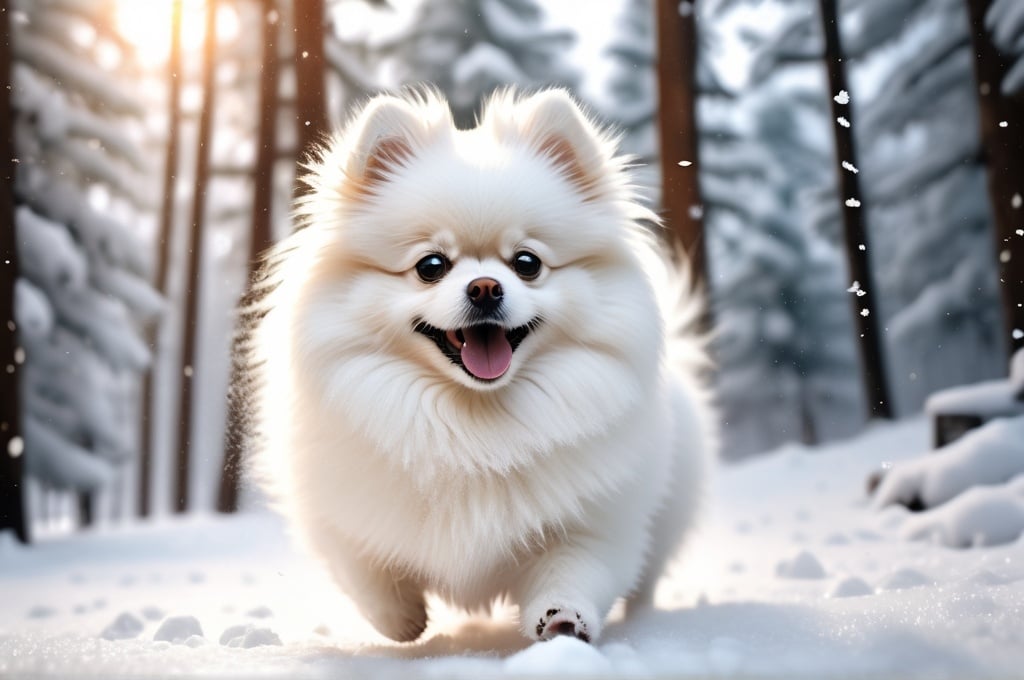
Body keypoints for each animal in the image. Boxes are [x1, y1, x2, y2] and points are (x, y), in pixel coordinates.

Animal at [240, 87, 716, 647]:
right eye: (431, 266)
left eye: (527, 263)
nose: (485, 287)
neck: (473, 425)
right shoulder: (341, 509)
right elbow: (364, 568)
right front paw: (402, 619)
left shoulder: (594, 523)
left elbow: (575, 570)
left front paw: (562, 618)